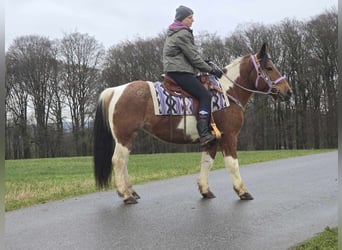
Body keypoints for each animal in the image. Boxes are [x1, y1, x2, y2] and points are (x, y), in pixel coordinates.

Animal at [93, 42, 292, 203]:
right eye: (269, 67)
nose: (288, 92)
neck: (227, 92)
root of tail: (116, 90)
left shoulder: (212, 139)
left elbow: (207, 162)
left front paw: (205, 190)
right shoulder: (229, 137)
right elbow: (232, 163)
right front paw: (242, 191)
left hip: (127, 138)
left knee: (123, 162)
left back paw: (130, 191)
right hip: (125, 137)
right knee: (119, 161)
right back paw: (126, 195)